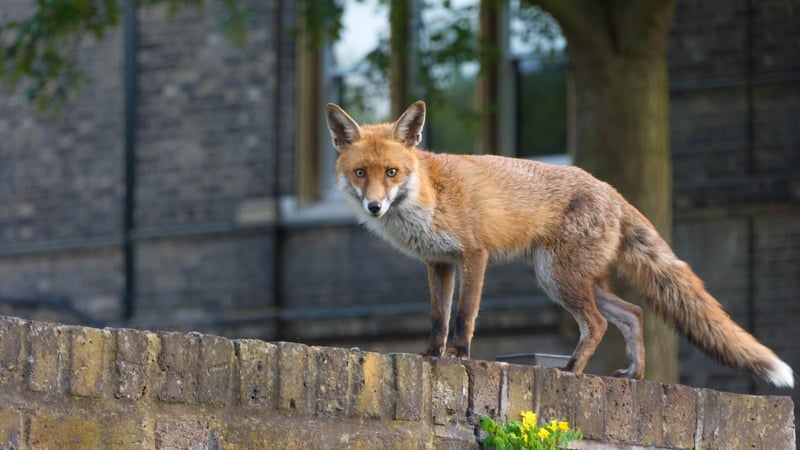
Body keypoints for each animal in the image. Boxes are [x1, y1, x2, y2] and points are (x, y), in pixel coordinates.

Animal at [324, 100, 794, 388]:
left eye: (392, 172)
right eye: (361, 173)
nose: (374, 207)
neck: (428, 195)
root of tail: (612, 190)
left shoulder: (475, 255)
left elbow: (463, 316)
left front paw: (458, 356)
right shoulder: (438, 263)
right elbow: (438, 318)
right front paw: (429, 356)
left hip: (557, 277)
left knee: (599, 324)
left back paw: (571, 370)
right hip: (571, 279)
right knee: (634, 313)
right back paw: (632, 375)